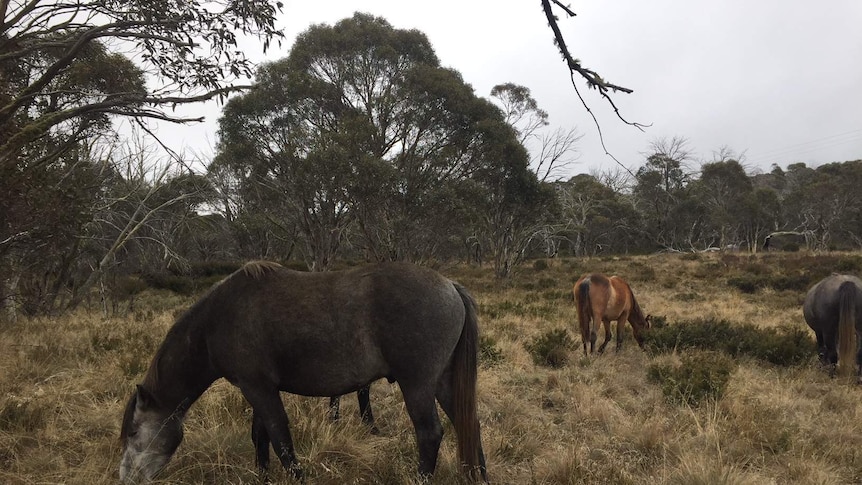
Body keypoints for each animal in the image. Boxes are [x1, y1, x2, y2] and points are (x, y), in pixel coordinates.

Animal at [118, 262, 490, 482]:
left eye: (134, 432)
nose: (125, 478)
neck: (216, 321)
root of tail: (451, 286)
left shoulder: (258, 388)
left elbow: (280, 439)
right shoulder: (259, 389)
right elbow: (261, 437)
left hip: (418, 386)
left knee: (430, 434)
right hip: (442, 383)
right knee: (467, 424)